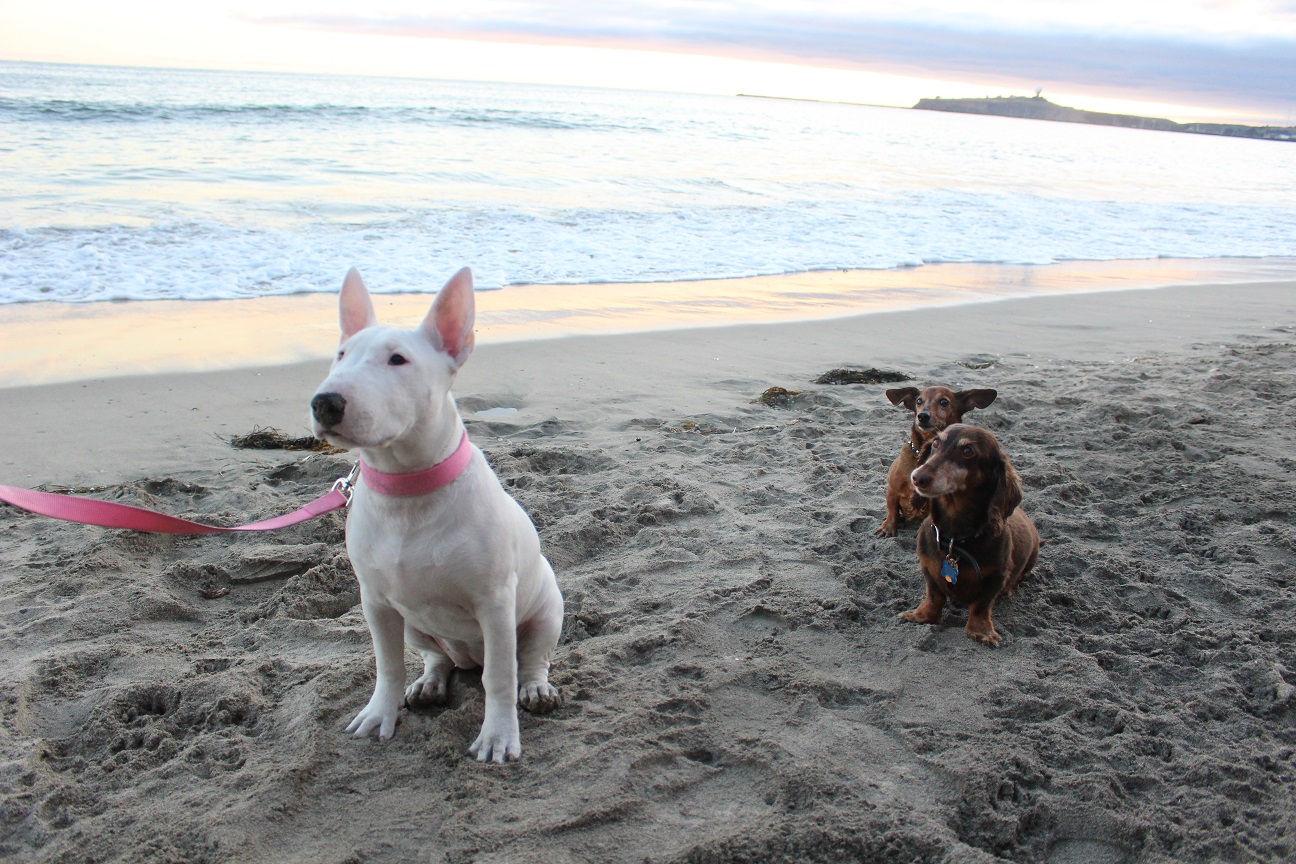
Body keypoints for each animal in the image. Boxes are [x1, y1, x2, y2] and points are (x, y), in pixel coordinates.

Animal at [310, 267, 563, 763]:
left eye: (398, 360)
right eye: (341, 354)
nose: (325, 403)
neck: (407, 489)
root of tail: (469, 655)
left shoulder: (495, 602)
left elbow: (499, 677)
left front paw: (498, 737)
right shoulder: (375, 602)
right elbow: (386, 665)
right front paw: (378, 716)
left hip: (546, 611)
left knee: (528, 660)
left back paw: (536, 690)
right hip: (415, 626)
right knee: (439, 657)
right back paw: (429, 684)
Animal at [875, 386, 997, 537]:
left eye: (944, 402)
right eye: (919, 401)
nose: (922, 416)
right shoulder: (893, 489)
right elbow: (892, 510)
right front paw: (888, 528)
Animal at [899, 424, 1038, 647]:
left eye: (967, 451)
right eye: (936, 442)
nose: (918, 477)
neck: (954, 540)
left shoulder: (997, 576)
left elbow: (981, 605)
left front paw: (981, 631)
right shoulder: (927, 568)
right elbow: (934, 596)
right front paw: (922, 615)